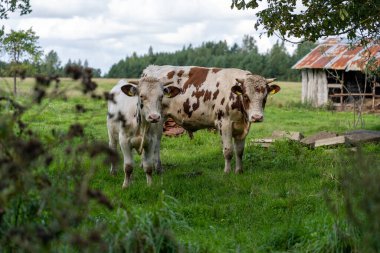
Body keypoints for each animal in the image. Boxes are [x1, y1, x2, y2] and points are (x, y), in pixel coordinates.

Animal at [142, 64, 280, 174]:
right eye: (246, 96)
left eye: (265, 97)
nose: (257, 117)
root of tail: (152, 68)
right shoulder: (225, 123)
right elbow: (228, 151)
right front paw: (227, 172)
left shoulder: (242, 127)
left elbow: (240, 151)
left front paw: (239, 171)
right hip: (158, 119)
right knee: (156, 142)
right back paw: (158, 168)